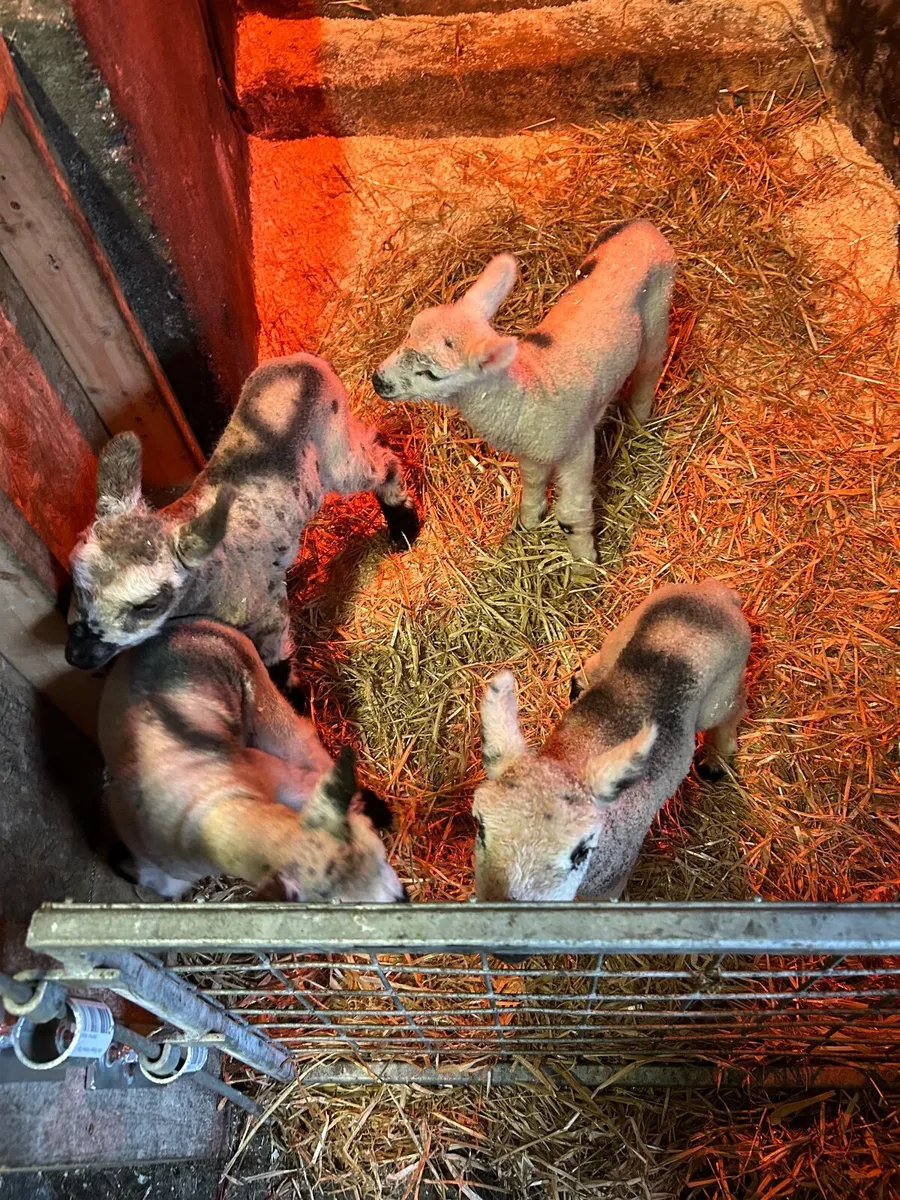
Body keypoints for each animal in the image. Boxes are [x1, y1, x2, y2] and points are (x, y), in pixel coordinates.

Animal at [66, 353, 420, 682]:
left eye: (148, 606)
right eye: (76, 581)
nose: (76, 656)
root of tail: (304, 361)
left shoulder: (267, 615)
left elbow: (277, 669)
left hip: (334, 451)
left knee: (382, 466)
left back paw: (405, 530)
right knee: (370, 439)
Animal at [372, 219, 676, 561]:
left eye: (431, 374)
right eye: (409, 331)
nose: (378, 381)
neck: (529, 388)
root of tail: (641, 225)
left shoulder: (577, 447)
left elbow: (571, 514)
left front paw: (586, 563)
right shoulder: (532, 450)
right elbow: (532, 483)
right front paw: (530, 520)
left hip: (658, 305)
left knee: (650, 366)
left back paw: (639, 418)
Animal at [472, 580, 750, 902]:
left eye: (581, 852)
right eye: (480, 827)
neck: (568, 756)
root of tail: (716, 593)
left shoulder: (609, 887)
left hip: (721, 687)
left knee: (734, 706)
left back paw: (716, 758)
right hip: (626, 629)